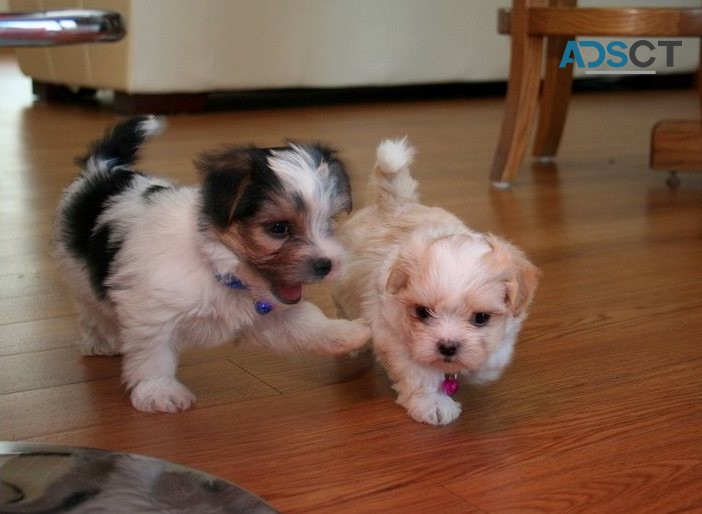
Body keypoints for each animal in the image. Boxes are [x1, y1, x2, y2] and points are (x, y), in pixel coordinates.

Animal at [54, 116, 372, 412]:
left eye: (328, 222)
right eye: (279, 228)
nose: (326, 265)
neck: (218, 266)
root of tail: (104, 171)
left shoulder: (270, 314)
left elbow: (306, 325)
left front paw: (350, 334)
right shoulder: (151, 312)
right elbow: (153, 354)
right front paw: (160, 392)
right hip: (78, 273)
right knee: (90, 309)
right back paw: (100, 341)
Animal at [334, 139, 540, 424]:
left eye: (481, 318)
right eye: (422, 313)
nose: (448, 346)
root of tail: (395, 203)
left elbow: (493, 357)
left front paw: (475, 367)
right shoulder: (392, 333)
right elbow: (420, 374)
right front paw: (433, 404)